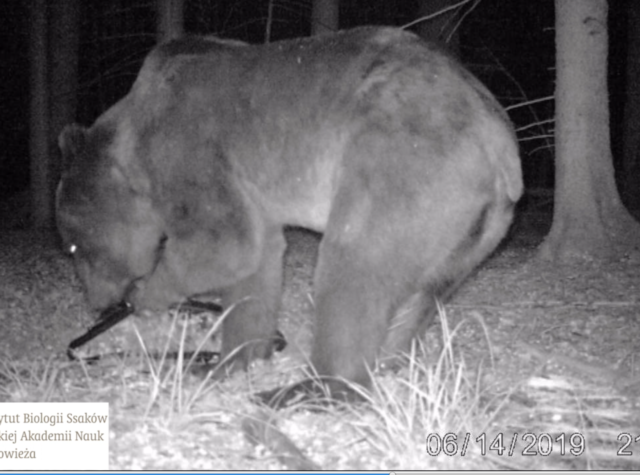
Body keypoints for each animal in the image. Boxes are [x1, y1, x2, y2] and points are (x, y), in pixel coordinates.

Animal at [55, 26, 524, 406]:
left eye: (74, 246)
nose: (98, 302)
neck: (131, 146)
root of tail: (500, 144)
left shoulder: (191, 148)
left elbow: (226, 243)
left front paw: (149, 294)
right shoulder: (252, 191)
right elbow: (257, 264)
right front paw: (229, 359)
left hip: (405, 163)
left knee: (353, 268)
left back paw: (311, 388)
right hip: (467, 231)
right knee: (420, 294)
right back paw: (385, 363)